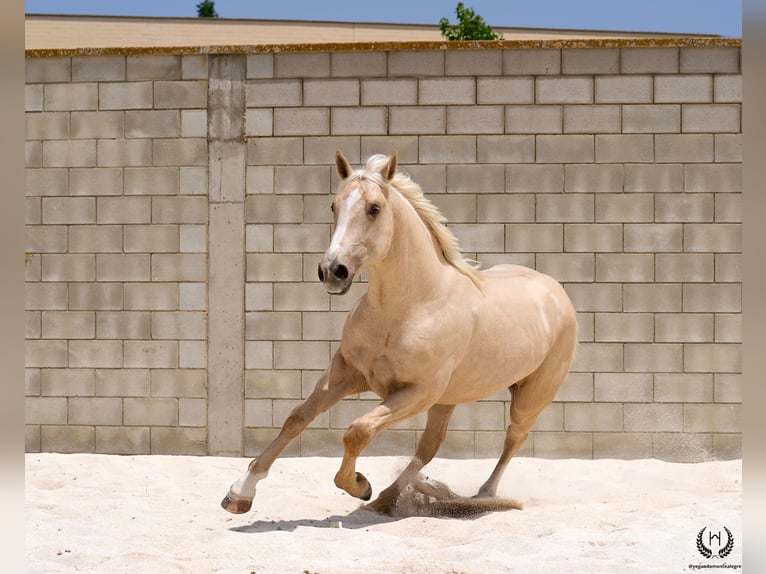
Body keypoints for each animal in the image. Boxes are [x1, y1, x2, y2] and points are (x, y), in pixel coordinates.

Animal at [221, 150, 577, 515]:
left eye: (374, 208)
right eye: (334, 206)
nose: (332, 271)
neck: (408, 308)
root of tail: (553, 288)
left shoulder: (416, 392)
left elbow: (358, 431)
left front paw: (359, 484)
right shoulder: (346, 374)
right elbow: (297, 417)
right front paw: (240, 492)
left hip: (529, 398)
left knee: (512, 439)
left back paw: (482, 496)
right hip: (448, 399)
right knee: (428, 447)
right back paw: (390, 499)